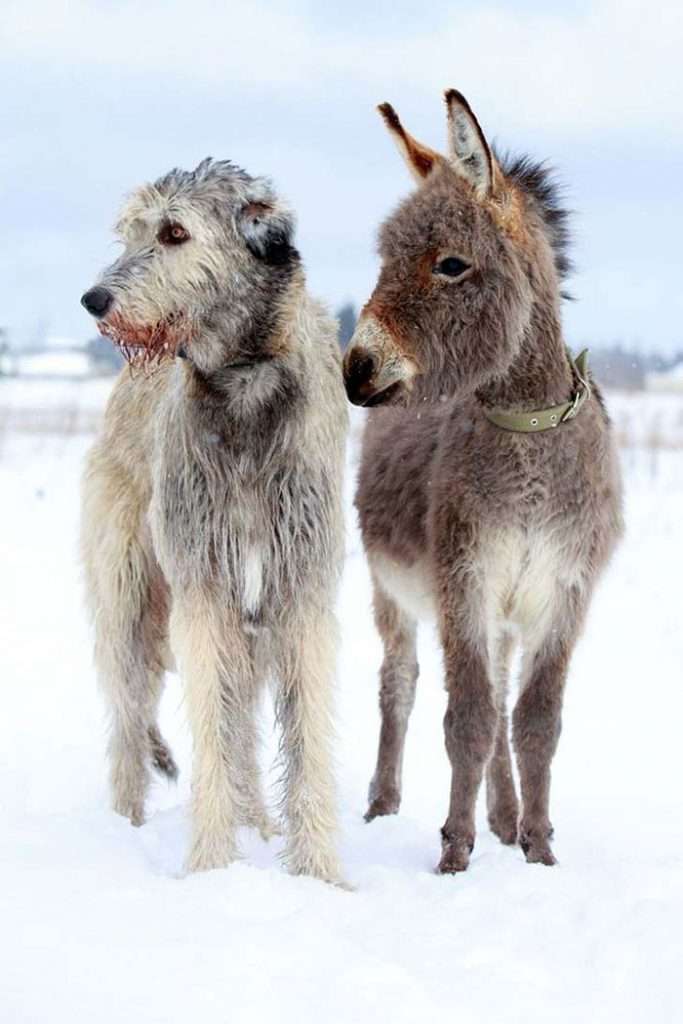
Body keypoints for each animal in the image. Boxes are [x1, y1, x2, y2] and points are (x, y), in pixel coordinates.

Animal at [80, 157, 348, 880]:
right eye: (131, 231)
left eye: (175, 232)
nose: (94, 301)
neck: (242, 381)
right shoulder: (202, 587)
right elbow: (211, 727)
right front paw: (210, 868)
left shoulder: (301, 588)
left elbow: (307, 735)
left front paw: (319, 873)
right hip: (130, 596)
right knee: (129, 718)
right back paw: (123, 827)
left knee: (244, 721)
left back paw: (257, 822)